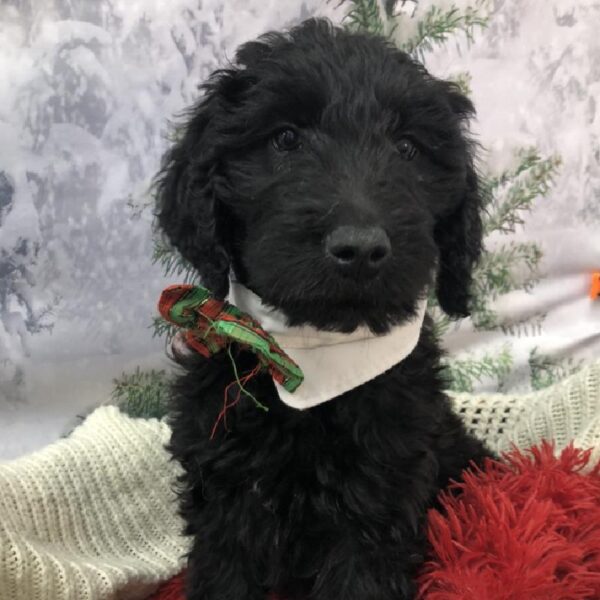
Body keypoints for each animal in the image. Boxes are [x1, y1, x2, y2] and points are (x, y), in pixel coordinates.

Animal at [157, 18, 490, 600]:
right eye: (285, 138)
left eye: (408, 148)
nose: (360, 248)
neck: (315, 360)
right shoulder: (226, 494)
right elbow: (225, 571)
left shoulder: (377, 497)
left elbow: (361, 575)